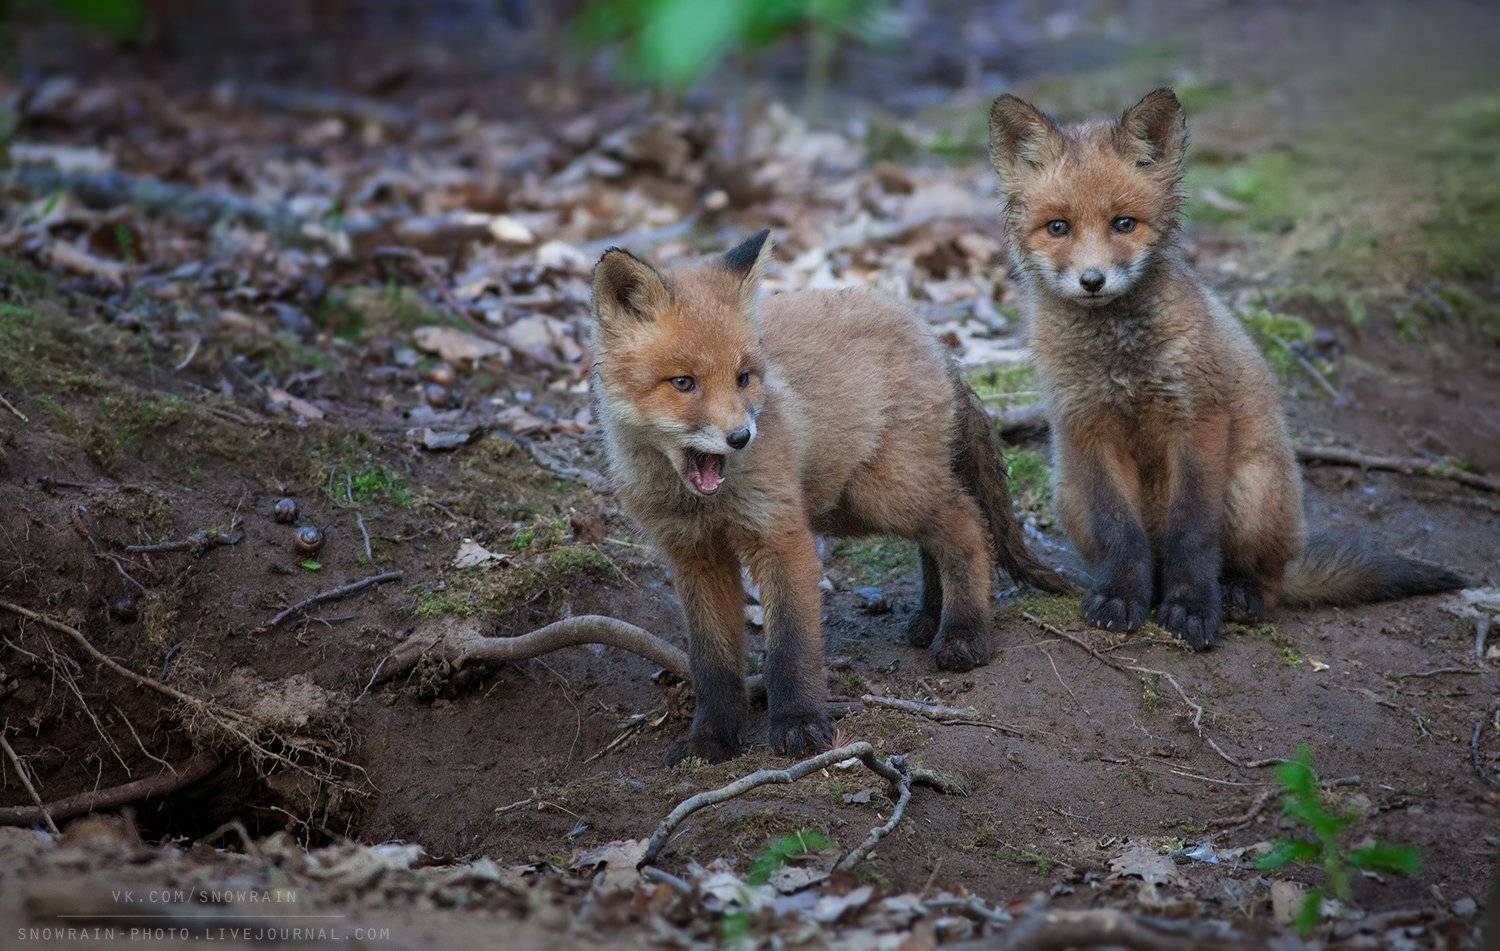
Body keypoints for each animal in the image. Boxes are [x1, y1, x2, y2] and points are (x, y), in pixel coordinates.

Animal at [590, 230, 1072, 761]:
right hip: (861, 501)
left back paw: (964, 632)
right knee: (940, 535)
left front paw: (800, 724)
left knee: (968, 525)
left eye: (743, 378)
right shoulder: (694, 555)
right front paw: (711, 738)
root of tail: (934, 340)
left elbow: (791, 646)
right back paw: (930, 616)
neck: (704, 502)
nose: (741, 437)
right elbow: (711, 661)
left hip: (880, 494)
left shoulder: (782, 535)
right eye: (683, 383)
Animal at [986, 87, 1465, 648]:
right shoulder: (1087, 427)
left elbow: (1193, 532)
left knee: (1263, 578)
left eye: (1124, 223)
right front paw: (1120, 597)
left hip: (1250, 491)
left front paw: (1192, 607)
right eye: (1058, 227)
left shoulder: (1199, 418)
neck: (1120, 360)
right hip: (1071, 495)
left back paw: (1239, 595)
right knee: (1148, 556)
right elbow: (1120, 534)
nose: (1092, 280)